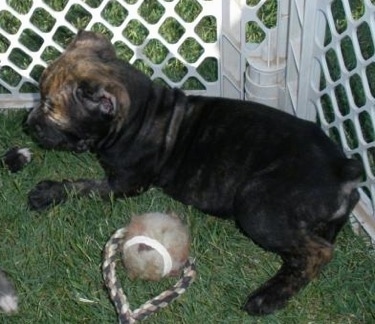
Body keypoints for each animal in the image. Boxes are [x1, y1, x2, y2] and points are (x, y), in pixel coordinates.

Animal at [25, 31, 362, 316]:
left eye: (50, 108)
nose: (28, 123)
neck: (138, 115)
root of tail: (342, 168)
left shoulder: (124, 183)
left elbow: (81, 186)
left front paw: (47, 192)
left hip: (257, 207)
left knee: (319, 252)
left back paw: (268, 296)